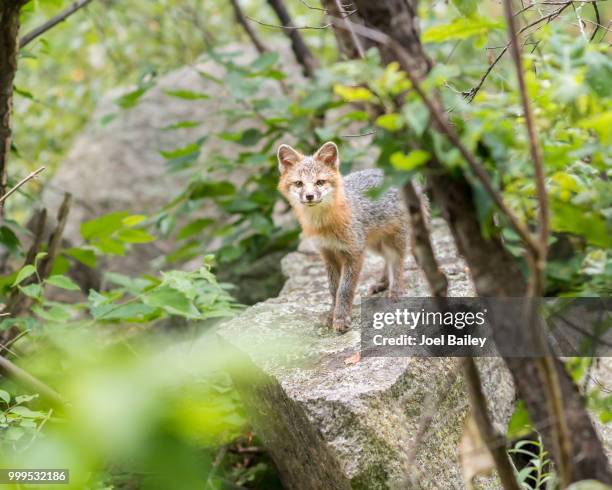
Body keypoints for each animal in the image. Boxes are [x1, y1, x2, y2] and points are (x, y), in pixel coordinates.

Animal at [278, 142, 406, 334]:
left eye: (320, 182)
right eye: (299, 184)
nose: (309, 196)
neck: (324, 225)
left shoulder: (353, 253)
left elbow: (344, 289)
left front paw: (341, 318)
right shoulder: (327, 254)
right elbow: (333, 288)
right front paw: (332, 314)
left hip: (393, 241)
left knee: (397, 262)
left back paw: (396, 290)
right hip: (374, 245)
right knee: (387, 260)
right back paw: (382, 283)